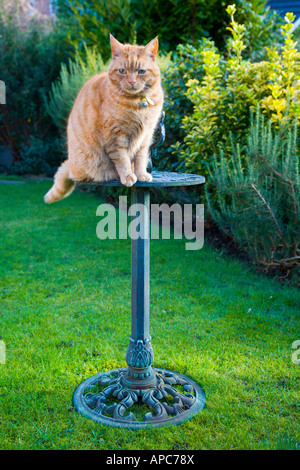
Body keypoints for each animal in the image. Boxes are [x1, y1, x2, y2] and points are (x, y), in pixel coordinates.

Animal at [43, 33, 163, 202]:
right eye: (122, 71)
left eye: (141, 71)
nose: (132, 81)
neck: (138, 103)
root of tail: (71, 164)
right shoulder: (116, 136)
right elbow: (123, 160)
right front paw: (128, 176)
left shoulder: (145, 137)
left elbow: (140, 159)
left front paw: (141, 175)